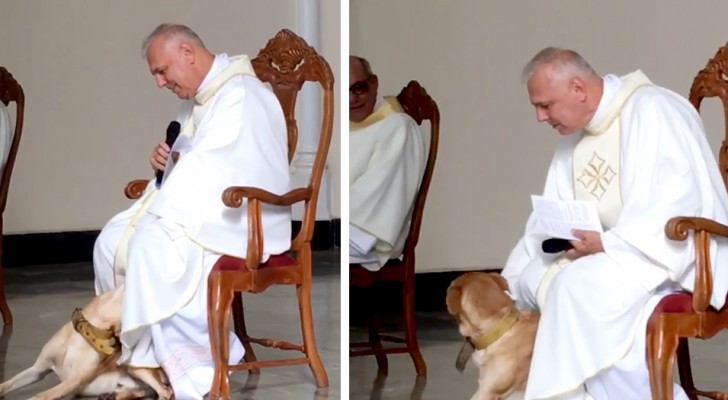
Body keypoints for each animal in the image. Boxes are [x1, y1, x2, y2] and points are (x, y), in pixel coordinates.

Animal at [0, 284, 173, 400]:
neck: (86, 333)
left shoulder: (74, 381)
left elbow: (41, 396)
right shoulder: (38, 370)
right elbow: (6, 384)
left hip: (135, 368)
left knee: (166, 392)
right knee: (148, 391)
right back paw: (111, 395)